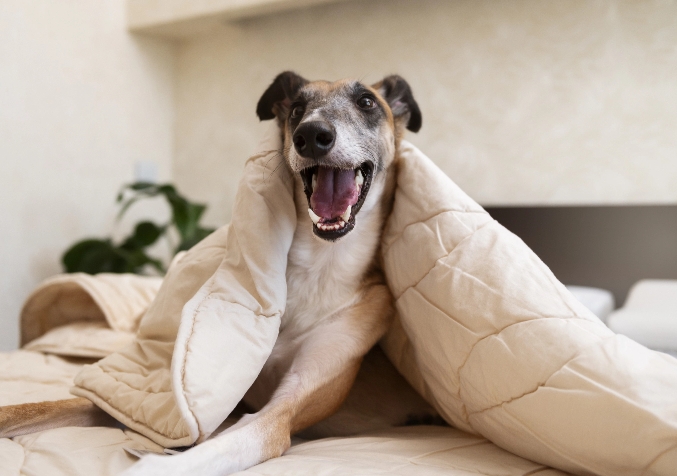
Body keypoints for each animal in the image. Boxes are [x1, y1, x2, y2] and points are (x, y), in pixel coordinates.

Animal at [0, 72, 438, 474]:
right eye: (296, 108)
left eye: (366, 101)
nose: (312, 135)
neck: (318, 266)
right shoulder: (198, 398)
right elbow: (39, 408)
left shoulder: (282, 410)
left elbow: (205, 451)